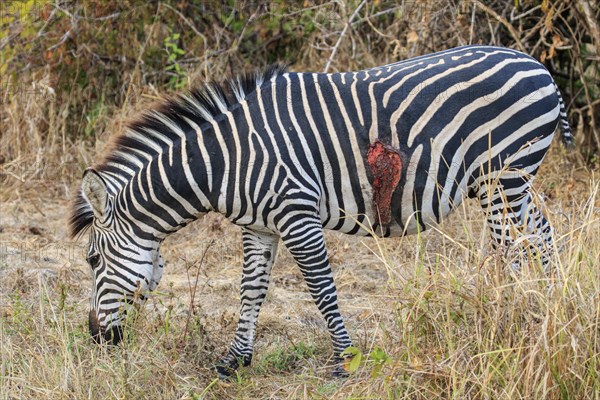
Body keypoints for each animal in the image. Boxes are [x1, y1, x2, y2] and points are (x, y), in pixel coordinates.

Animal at [69, 45, 572, 376]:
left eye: (92, 259)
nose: (96, 338)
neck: (223, 162)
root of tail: (536, 64)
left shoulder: (297, 215)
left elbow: (321, 289)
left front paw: (344, 361)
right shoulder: (259, 226)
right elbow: (250, 291)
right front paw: (235, 360)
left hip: (500, 178)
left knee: (518, 248)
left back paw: (520, 319)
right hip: (512, 184)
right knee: (541, 240)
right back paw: (547, 309)